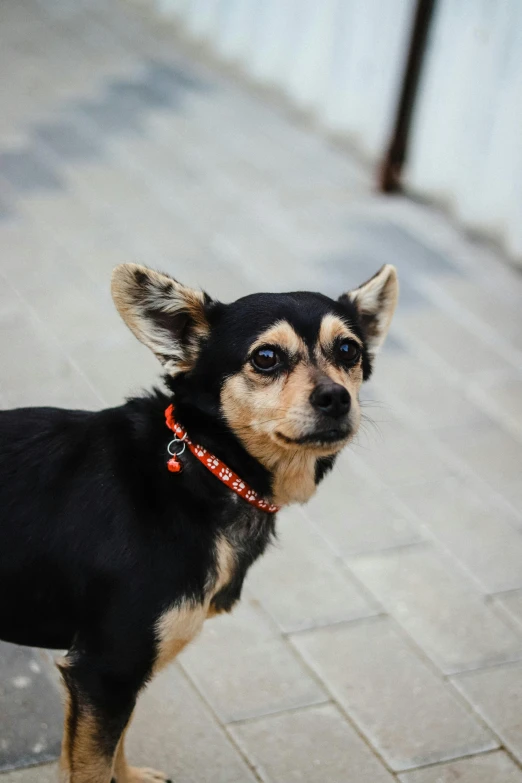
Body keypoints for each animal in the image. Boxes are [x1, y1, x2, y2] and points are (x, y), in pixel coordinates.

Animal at [0, 264, 394, 783]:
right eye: (266, 358)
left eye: (349, 350)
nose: (336, 397)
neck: (204, 469)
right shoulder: (106, 669)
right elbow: (94, 764)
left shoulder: (121, 674)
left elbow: (114, 745)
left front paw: (129, 777)